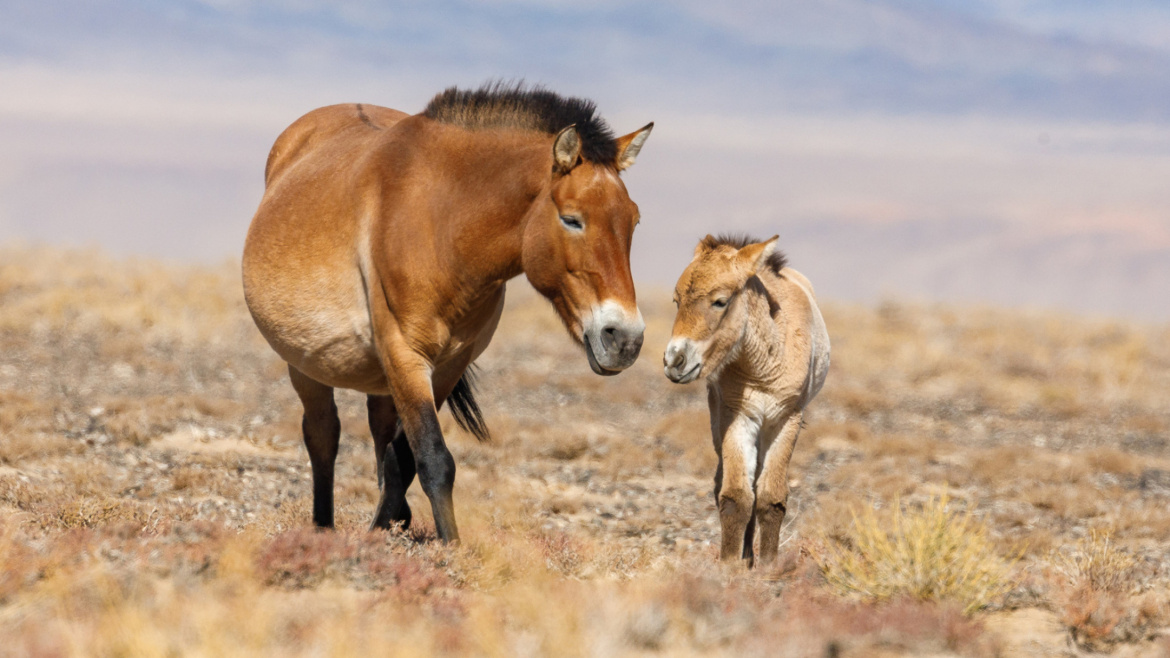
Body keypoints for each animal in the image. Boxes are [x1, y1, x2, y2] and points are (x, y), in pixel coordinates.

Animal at [243, 84, 655, 540]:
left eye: (634, 220)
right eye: (571, 219)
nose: (625, 338)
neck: (440, 222)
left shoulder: (447, 366)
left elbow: (404, 457)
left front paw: (385, 528)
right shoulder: (405, 355)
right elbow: (434, 459)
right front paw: (451, 547)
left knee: (378, 429)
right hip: (304, 363)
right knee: (322, 435)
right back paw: (322, 528)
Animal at [664, 234, 828, 564]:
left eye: (720, 301)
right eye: (677, 301)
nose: (674, 361)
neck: (762, 364)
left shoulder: (785, 421)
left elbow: (771, 497)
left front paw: (768, 565)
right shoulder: (736, 418)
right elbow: (736, 496)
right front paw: (730, 564)